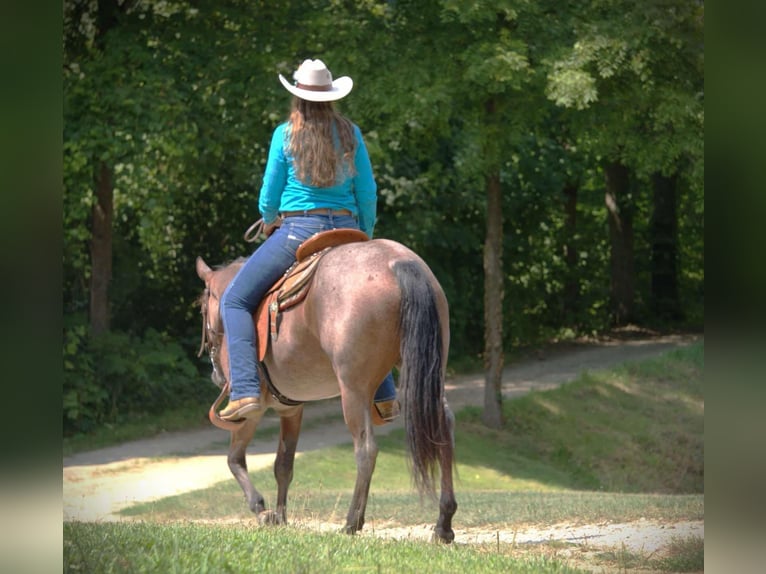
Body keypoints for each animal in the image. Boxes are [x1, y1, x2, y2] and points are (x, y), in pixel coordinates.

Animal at [195, 237, 457, 543]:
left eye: (202, 308)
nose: (215, 374)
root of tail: (398, 262)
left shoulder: (252, 411)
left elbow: (234, 459)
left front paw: (262, 510)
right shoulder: (291, 408)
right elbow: (283, 465)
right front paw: (281, 517)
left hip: (353, 390)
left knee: (366, 449)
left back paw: (352, 522)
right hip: (430, 376)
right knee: (443, 430)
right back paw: (443, 524)